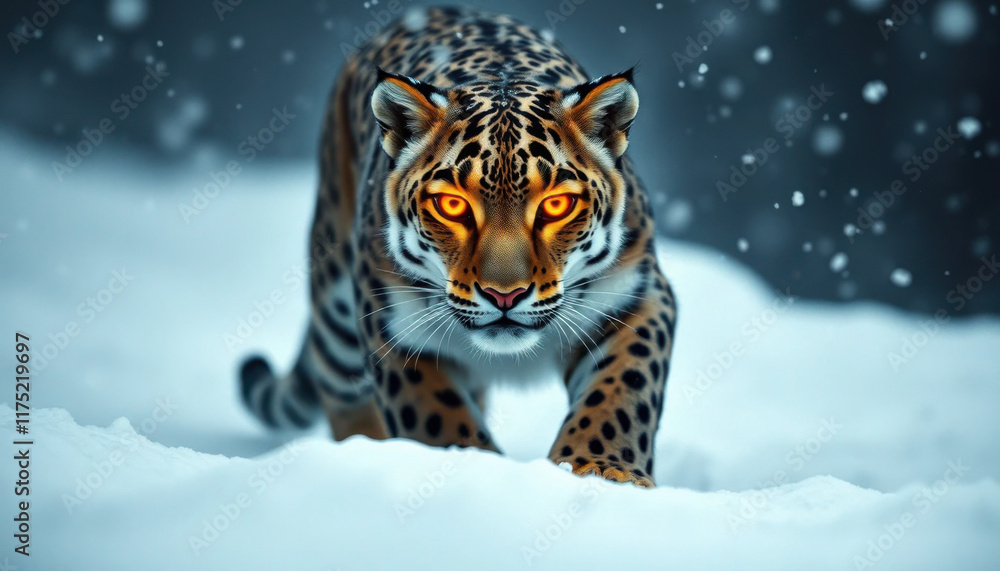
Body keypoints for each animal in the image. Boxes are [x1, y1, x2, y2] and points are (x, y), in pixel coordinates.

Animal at [239, 6, 677, 488]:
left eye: (556, 205)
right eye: (452, 205)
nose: (505, 295)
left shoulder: (635, 296)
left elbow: (620, 392)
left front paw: (601, 470)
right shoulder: (393, 325)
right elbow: (436, 419)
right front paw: (470, 470)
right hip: (337, 304)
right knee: (339, 386)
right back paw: (363, 455)